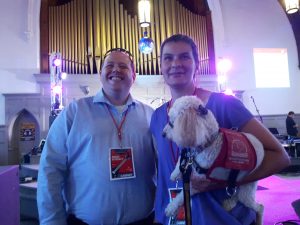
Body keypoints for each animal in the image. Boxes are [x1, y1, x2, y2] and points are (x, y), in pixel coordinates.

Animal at [163, 95, 264, 225]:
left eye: (171, 123)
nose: (163, 134)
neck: (209, 142)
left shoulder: (199, 182)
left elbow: (182, 195)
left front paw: (171, 208)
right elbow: (182, 159)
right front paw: (175, 173)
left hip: (247, 188)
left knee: (259, 207)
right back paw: (229, 203)